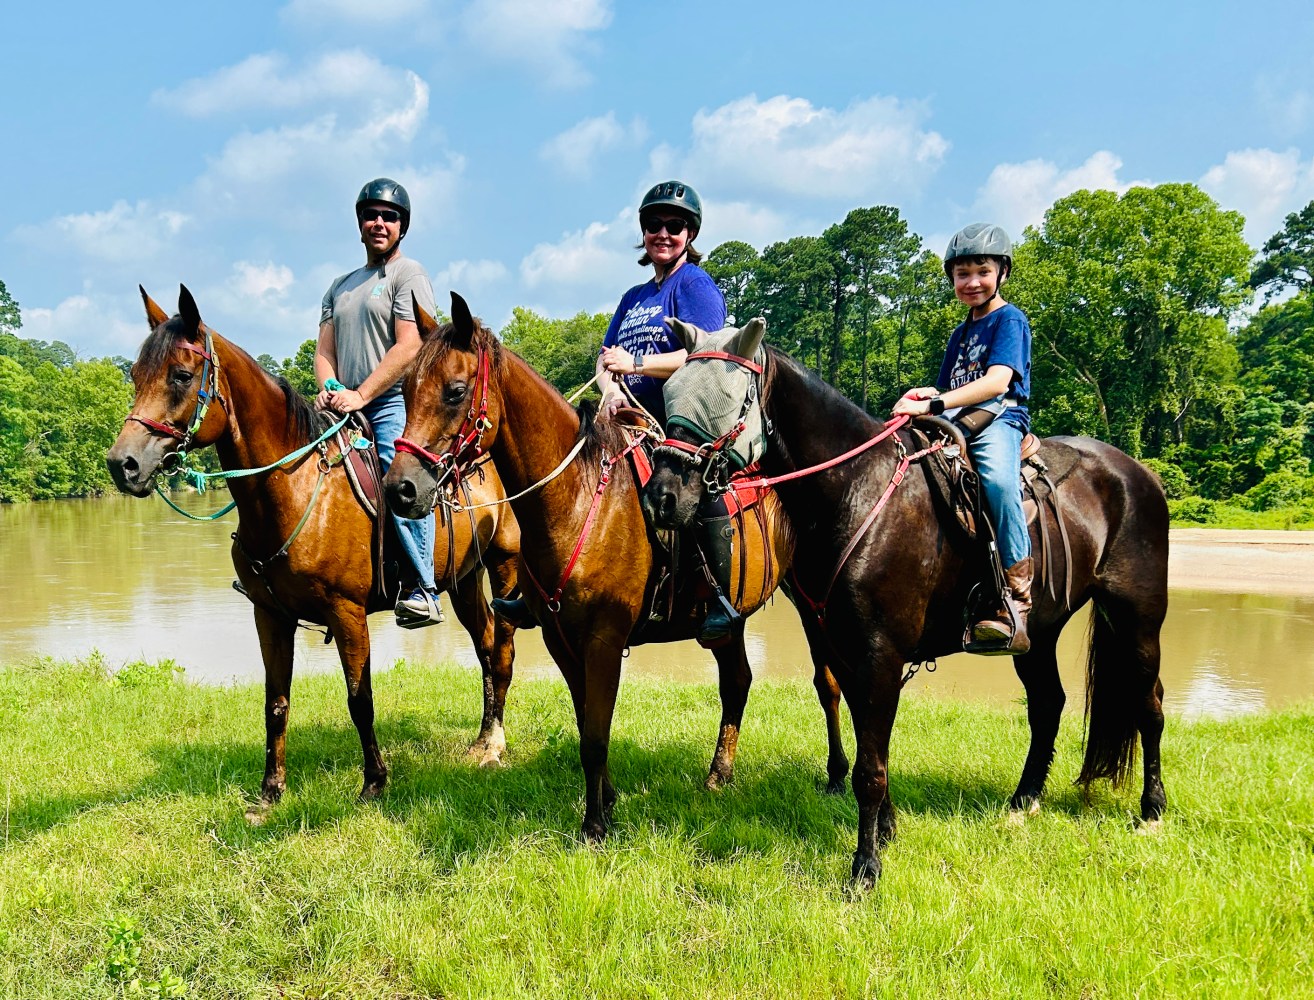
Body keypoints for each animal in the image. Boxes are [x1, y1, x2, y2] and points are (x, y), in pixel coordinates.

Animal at [106, 285, 522, 816]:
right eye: (136, 376)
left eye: (180, 375)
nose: (123, 464)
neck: (296, 491)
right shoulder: (269, 615)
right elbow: (275, 703)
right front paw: (270, 792)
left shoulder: (347, 613)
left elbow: (360, 700)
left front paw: (374, 783)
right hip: (462, 579)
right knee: (485, 643)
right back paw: (483, 736)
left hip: (504, 566)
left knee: (502, 649)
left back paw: (494, 745)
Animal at [382, 292, 850, 842]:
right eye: (405, 389)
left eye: (455, 391)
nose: (400, 488)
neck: (580, 501)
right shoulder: (561, 639)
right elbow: (588, 721)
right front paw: (607, 800)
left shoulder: (604, 638)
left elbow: (596, 735)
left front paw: (595, 825)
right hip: (726, 623)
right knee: (737, 681)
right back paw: (719, 774)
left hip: (812, 603)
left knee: (827, 684)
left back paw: (837, 775)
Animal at [643, 318, 1169, 887]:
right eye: (671, 392)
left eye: (727, 399)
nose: (662, 497)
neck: (856, 491)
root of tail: (1137, 474)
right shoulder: (846, 652)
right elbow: (870, 747)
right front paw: (887, 830)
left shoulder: (880, 654)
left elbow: (870, 769)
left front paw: (865, 867)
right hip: (1038, 635)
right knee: (1049, 704)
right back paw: (1023, 800)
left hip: (1137, 619)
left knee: (1150, 705)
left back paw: (1152, 810)